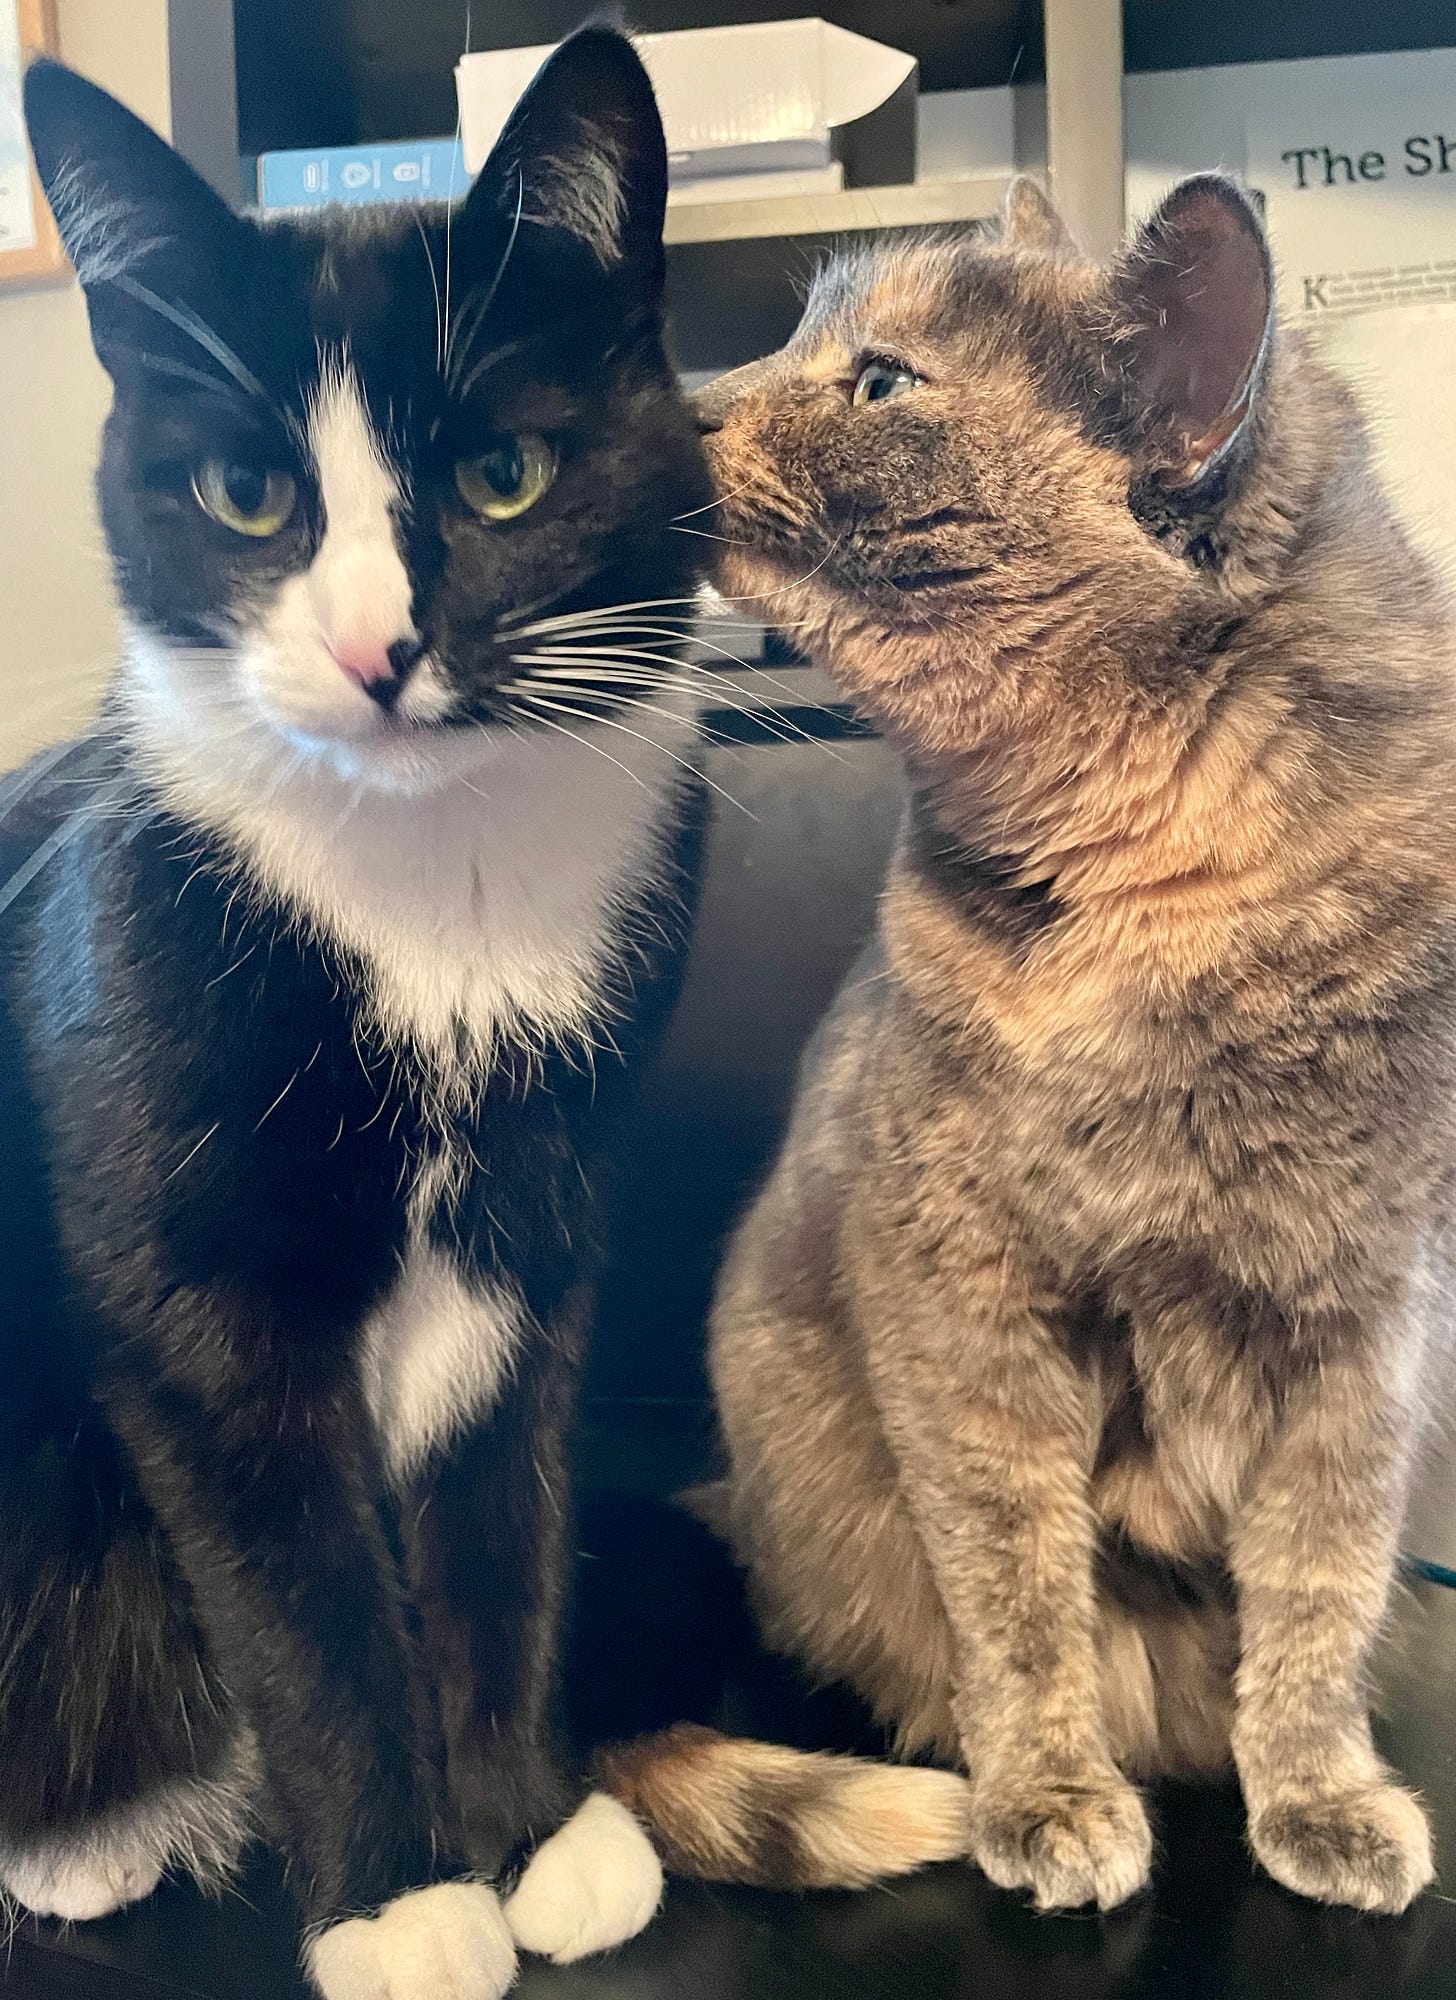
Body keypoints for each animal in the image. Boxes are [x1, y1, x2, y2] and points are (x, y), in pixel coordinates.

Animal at [5, 31, 712, 2000]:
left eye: (503, 473)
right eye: (248, 497)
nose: (376, 650)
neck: (434, 901)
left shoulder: (537, 1218)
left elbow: (502, 1508)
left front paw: (530, 1831)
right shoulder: (190, 1293)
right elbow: (301, 1587)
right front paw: (398, 1899)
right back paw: (92, 1834)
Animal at [600, 180, 1456, 1912]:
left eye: (881, 382)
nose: (682, 403)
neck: (1157, 888)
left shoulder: (1367, 1327)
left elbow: (1318, 1595)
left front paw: (1320, 1802)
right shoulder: (964, 1308)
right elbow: (1014, 1589)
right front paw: (1053, 1794)